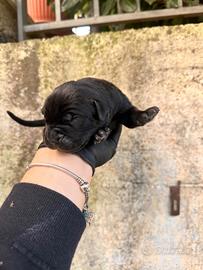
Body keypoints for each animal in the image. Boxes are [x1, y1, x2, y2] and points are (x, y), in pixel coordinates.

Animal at [7, 77, 159, 153]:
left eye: (72, 118)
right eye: (45, 118)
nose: (52, 136)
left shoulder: (121, 103)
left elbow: (130, 115)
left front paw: (146, 114)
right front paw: (101, 133)